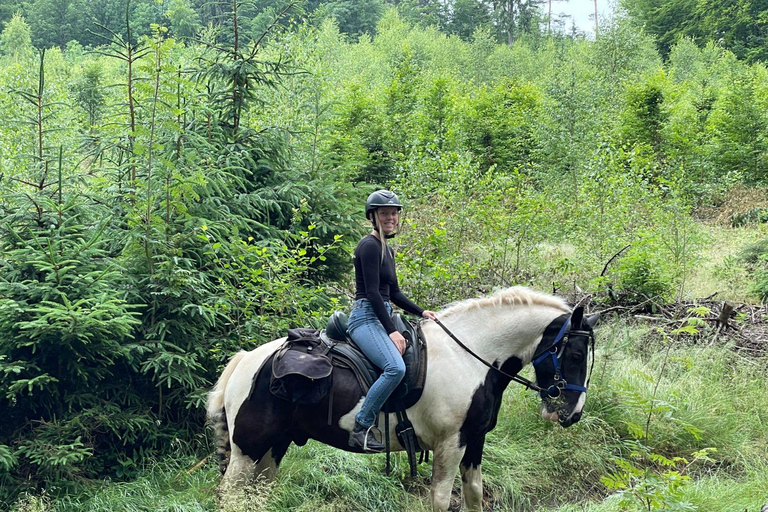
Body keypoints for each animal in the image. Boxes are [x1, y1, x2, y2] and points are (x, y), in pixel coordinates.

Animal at [206, 286, 600, 510]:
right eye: (575, 355)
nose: (572, 414)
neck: (470, 356)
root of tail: (247, 360)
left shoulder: (474, 440)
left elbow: (474, 494)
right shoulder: (449, 445)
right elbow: (441, 499)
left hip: (275, 446)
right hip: (247, 449)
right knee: (231, 496)